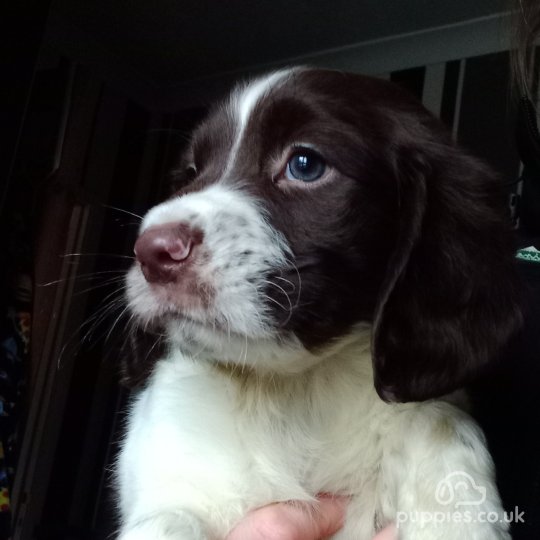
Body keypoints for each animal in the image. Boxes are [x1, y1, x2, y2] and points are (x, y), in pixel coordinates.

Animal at [116, 68, 520, 540]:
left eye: (305, 164)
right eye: (189, 174)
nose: (152, 251)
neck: (294, 390)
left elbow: (438, 418)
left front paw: (455, 515)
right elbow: (167, 521)